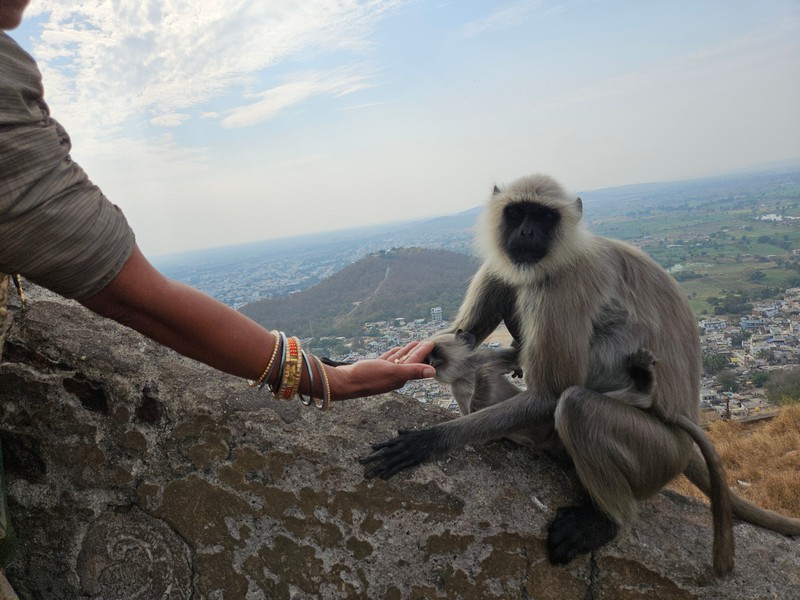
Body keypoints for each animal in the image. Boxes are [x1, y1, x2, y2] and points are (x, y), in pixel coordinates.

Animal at [360, 173, 800, 576]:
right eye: (517, 213)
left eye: (544, 216)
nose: (527, 231)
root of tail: (684, 432)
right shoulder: (505, 265)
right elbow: (469, 332)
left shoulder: (561, 286)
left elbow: (549, 394)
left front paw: (429, 441)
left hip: (654, 453)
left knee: (576, 406)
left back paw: (610, 517)